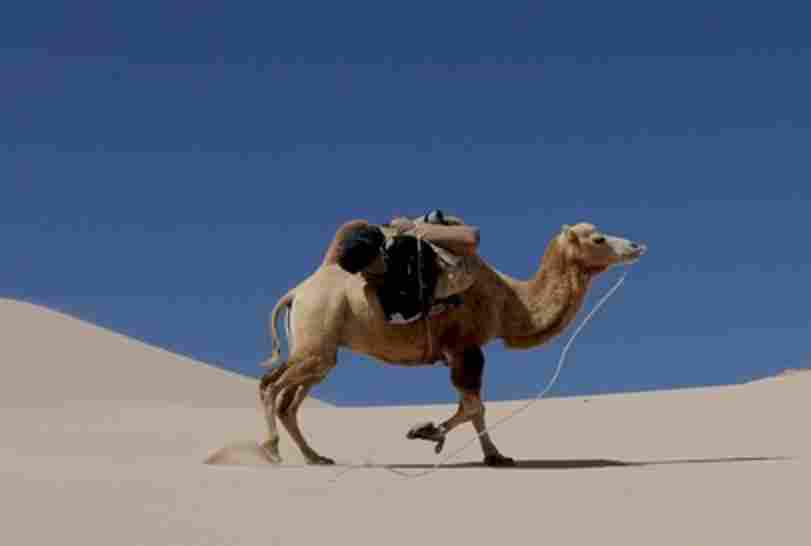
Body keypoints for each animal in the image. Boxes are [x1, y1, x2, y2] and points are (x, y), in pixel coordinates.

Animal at [258, 221, 647, 466]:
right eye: (598, 239)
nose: (636, 245)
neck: (509, 301)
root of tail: (296, 293)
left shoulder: (462, 352)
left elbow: (475, 407)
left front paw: (496, 456)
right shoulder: (465, 348)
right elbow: (473, 407)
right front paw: (426, 431)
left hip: (319, 352)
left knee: (289, 402)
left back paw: (314, 457)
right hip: (317, 337)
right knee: (269, 386)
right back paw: (272, 450)